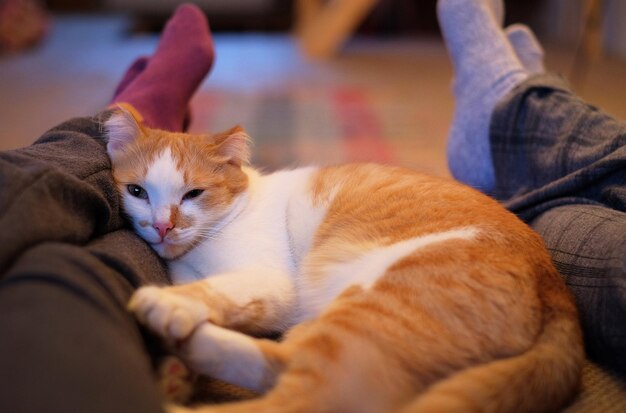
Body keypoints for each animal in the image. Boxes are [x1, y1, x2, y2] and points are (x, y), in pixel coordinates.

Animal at [105, 107, 584, 412]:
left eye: (193, 194)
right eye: (138, 192)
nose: (163, 226)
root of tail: (555, 288)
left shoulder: (271, 282)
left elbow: (214, 290)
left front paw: (173, 304)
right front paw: (179, 365)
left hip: (368, 311)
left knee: (306, 398)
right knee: (280, 364)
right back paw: (178, 357)